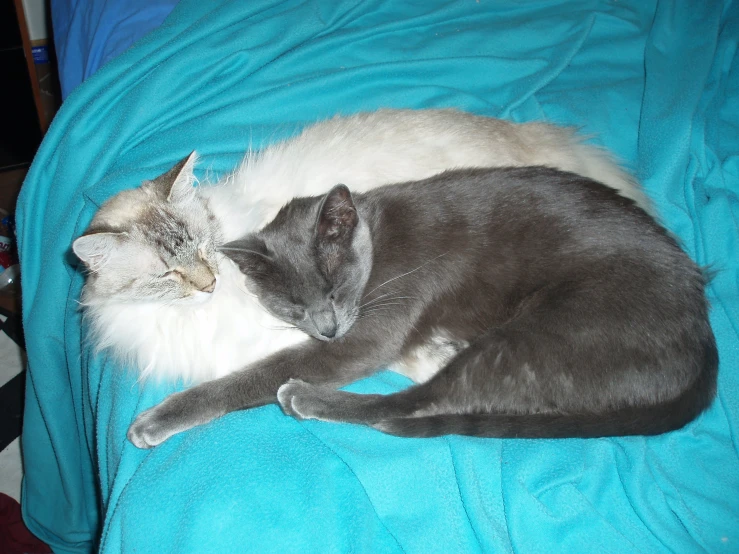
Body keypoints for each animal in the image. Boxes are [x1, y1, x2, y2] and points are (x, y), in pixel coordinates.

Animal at [127, 164, 716, 444]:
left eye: (334, 290)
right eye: (292, 306)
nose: (327, 327)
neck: (378, 241)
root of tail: (703, 333)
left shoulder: (371, 329)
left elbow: (257, 374)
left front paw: (161, 416)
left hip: (540, 334)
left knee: (409, 407)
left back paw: (304, 397)